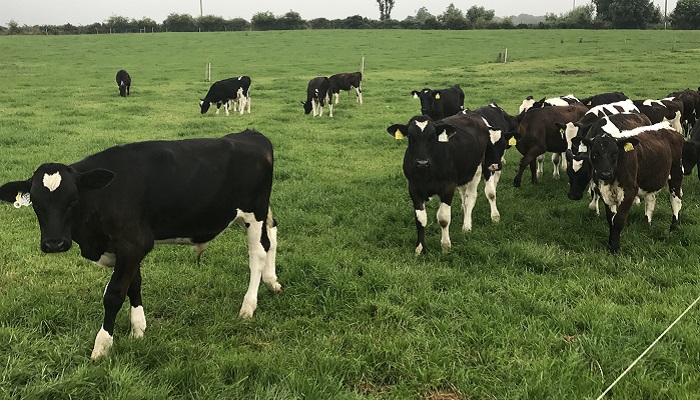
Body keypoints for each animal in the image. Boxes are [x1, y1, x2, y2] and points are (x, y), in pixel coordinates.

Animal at [0, 130, 281, 360]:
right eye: (36, 203)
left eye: (74, 199)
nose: (54, 243)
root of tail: (252, 135)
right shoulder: (128, 248)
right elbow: (134, 284)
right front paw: (138, 329)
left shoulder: (133, 243)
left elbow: (114, 294)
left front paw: (102, 346)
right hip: (260, 212)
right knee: (272, 234)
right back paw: (272, 281)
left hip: (254, 212)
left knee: (257, 253)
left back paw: (248, 306)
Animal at [386, 112, 500, 254]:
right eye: (411, 137)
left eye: (433, 137)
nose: (422, 162)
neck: (426, 173)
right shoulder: (413, 188)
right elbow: (420, 219)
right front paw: (420, 248)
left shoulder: (448, 187)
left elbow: (444, 218)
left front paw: (445, 246)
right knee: (464, 198)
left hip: (479, 168)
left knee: (474, 197)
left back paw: (470, 225)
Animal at [581, 122, 684, 253]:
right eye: (595, 153)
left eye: (615, 153)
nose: (605, 173)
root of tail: (668, 127)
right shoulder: (605, 193)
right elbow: (611, 220)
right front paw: (610, 244)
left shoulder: (630, 192)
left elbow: (618, 220)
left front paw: (615, 248)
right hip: (651, 180)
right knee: (650, 202)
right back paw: (647, 229)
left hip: (676, 173)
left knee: (676, 200)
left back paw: (673, 229)